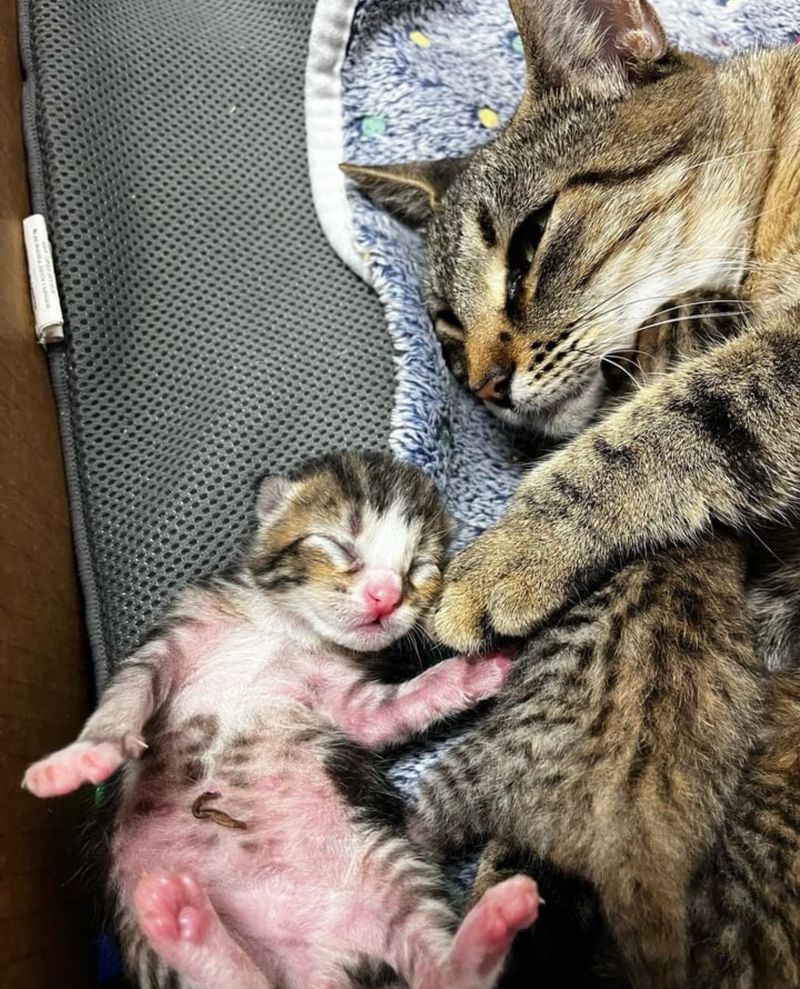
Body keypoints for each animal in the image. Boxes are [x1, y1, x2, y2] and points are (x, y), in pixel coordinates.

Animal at [23, 454, 536, 988]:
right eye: (339, 544)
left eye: (419, 567)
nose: (386, 596)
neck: (289, 630)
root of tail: (314, 969)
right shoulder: (172, 639)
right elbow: (127, 694)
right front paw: (82, 756)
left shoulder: (349, 701)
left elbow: (396, 710)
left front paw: (478, 668)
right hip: (130, 893)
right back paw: (182, 919)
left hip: (388, 867)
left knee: (448, 978)